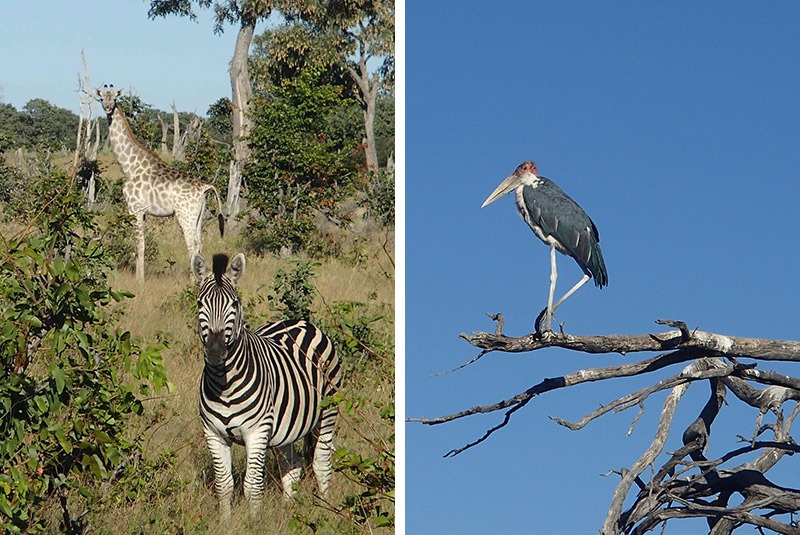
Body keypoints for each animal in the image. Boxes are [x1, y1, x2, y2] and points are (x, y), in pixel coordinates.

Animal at [96, 84, 225, 282]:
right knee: (199, 243)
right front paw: (139, 277)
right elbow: (140, 244)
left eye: (115, 98)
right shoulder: (143, 212)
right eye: (101, 99)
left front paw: (140, 281)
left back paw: (193, 281)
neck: (129, 166)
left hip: (185, 215)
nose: (108, 108)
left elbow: (139, 244)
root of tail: (204, 187)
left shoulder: (135, 209)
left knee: (192, 244)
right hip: (198, 215)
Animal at [191, 252, 340, 520]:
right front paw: (226, 523)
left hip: (327, 412)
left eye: (234, 304)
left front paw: (254, 523)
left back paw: (327, 512)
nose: (216, 353)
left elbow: (252, 485)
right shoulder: (213, 433)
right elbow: (224, 484)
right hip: (286, 427)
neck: (223, 384)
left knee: (321, 464)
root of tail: (301, 321)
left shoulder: (257, 431)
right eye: (200, 304)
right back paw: (288, 512)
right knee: (292, 464)